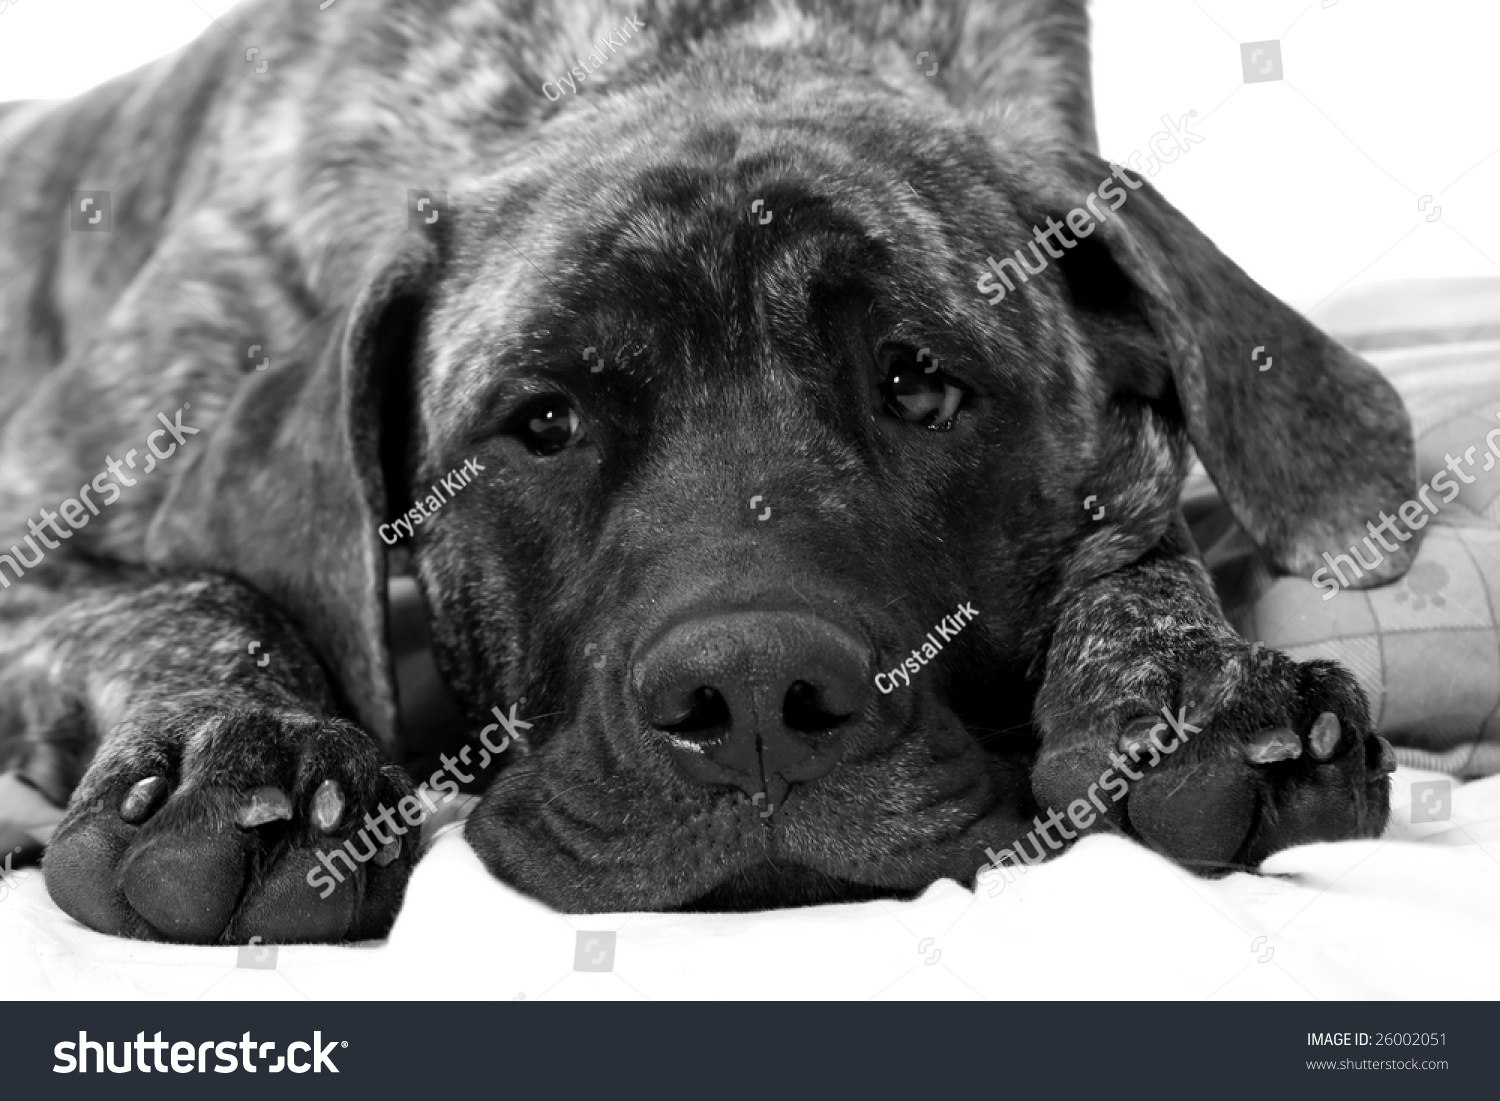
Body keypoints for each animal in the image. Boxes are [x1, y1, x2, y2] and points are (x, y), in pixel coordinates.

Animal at [0, 0, 1404, 942]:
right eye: (544, 422)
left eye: (920, 384)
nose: (755, 694)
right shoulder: (42, 546)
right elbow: (203, 599)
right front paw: (248, 754)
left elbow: (1143, 540)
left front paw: (1187, 681)